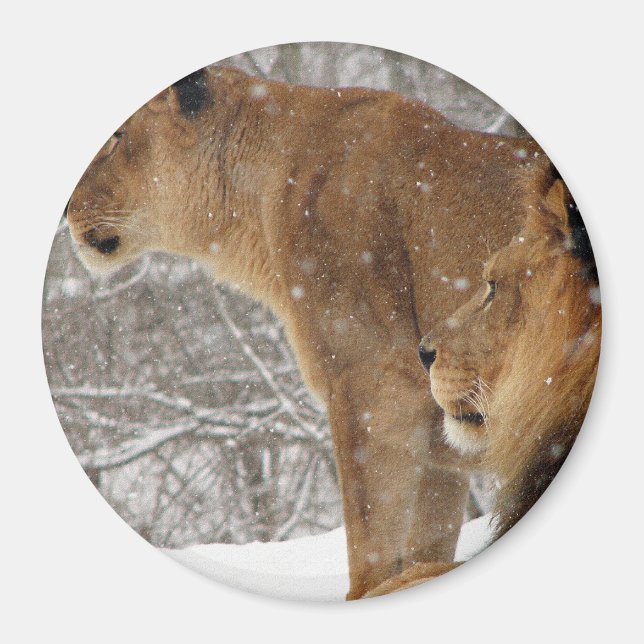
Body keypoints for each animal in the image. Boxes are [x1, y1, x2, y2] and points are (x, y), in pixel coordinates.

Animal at [65, 64, 558, 599]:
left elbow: (370, 554)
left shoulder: (375, 387)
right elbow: (424, 549)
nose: (67, 209)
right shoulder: (440, 438)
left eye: (117, 137)